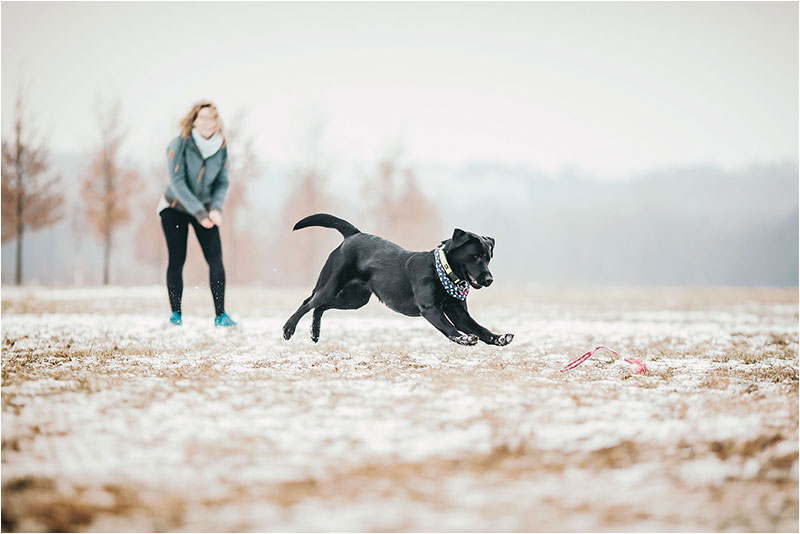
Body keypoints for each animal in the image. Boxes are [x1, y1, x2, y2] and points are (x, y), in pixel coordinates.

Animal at [284, 214, 516, 348]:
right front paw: (463, 339)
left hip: (355, 299)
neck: (442, 271)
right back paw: (288, 329)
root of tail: (353, 235)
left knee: (320, 307)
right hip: (331, 286)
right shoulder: (430, 308)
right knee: (308, 303)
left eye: (488, 257)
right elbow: (449, 328)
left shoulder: (459, 313)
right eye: (475, 256)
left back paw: (315, 333)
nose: (489, 279)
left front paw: (498, 337)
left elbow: (480, 328)